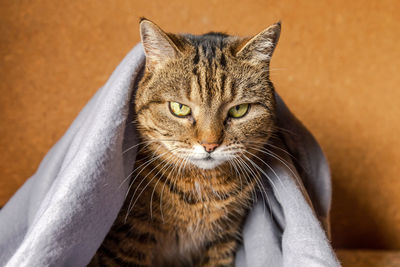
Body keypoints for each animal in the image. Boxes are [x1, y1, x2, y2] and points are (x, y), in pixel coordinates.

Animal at [90, 18, 282, 266]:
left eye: (239, 110)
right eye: (179, 108)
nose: (210, 145)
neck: (202, 189)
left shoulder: (223, 239)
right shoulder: (128, 236)